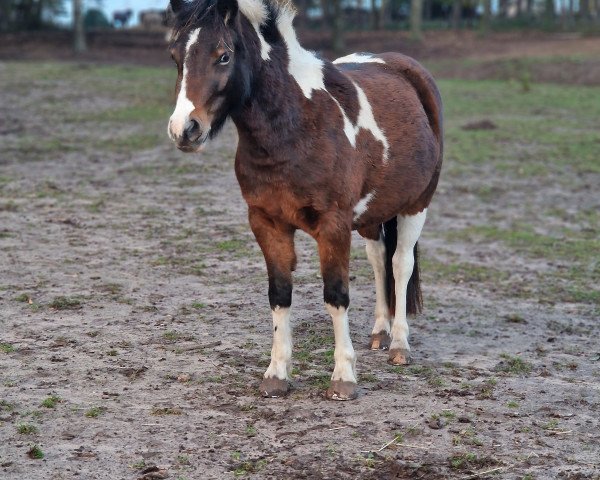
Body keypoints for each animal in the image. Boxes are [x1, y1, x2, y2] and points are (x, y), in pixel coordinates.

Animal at [166, 0, 442, 402]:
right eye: (176, 56)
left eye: (223, 56)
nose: (184, 129)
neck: (296, 127)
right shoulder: (267, 222)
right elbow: (279, 294)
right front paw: (276, 373)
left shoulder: (333, 225)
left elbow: (336, 295)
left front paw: (343, 377)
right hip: (372, 214)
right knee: (379, 260)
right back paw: (380, 332)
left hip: (415, 204)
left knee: (400, 264)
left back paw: (399, 345)